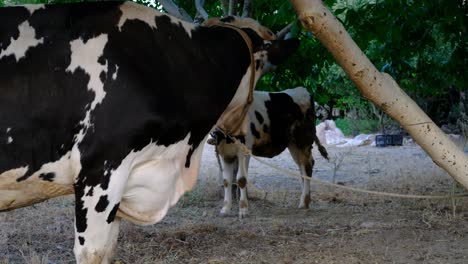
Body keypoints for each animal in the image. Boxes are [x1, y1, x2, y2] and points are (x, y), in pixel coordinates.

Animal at [210, 87, 328, 218]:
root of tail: (301, 89)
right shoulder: (225, 153)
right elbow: (227, 181)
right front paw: (225, 209)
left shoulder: (244, 150)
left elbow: (241, 179)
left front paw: (243, 210)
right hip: (293, 144)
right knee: (302, 167)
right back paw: (305, 201)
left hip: (303, 142)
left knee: (307, 167)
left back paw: (304, 201)